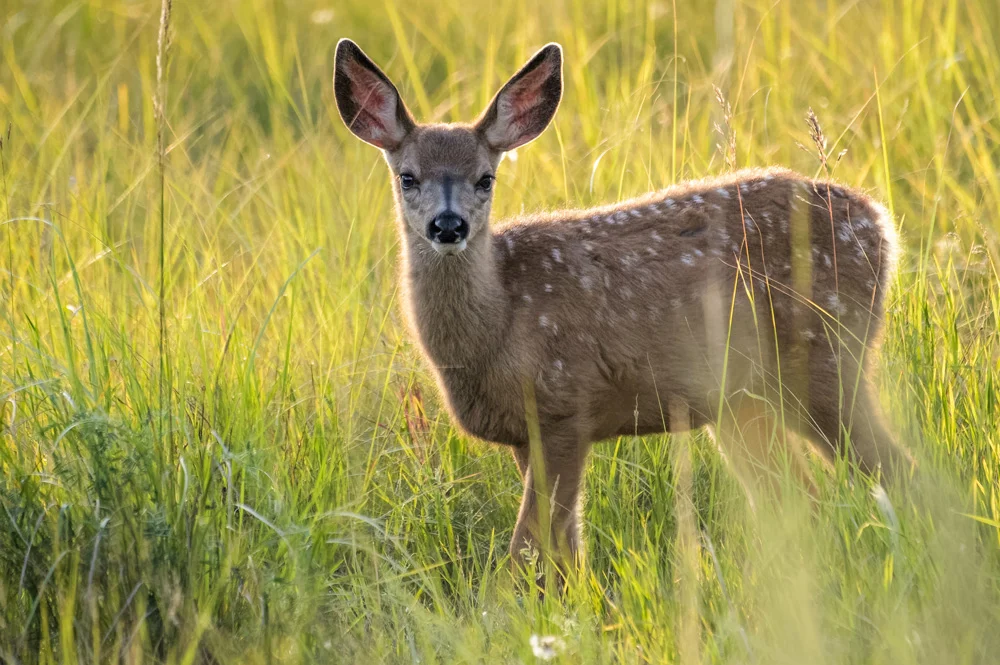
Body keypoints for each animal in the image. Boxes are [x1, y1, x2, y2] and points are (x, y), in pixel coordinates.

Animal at [333, 39, 914, 573]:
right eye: (408, 176)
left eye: (485, 178)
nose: (448, 226)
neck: (498, 325)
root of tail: (880, 222)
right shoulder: (525, 431)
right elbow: (564, 551)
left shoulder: (565, 405)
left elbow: (529, 548)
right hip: (742, 400)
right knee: (796, 498)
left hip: (827, 355)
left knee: (899, 469)